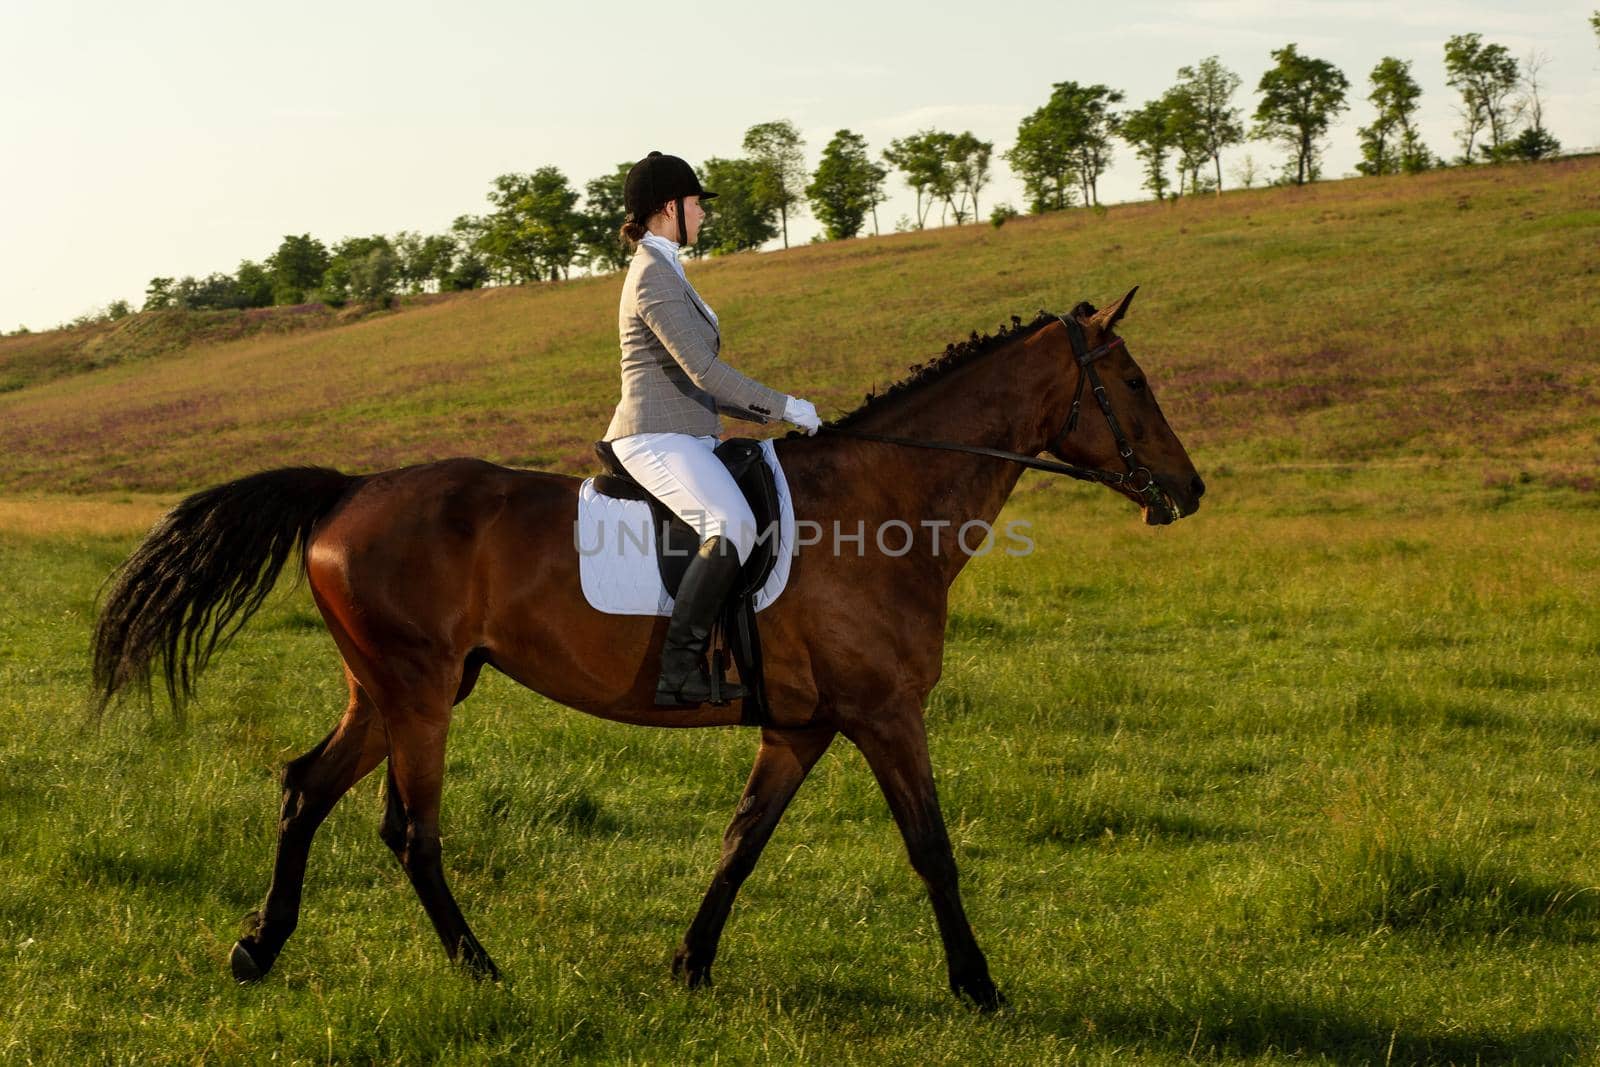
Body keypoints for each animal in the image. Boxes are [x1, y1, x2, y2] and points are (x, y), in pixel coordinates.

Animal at [90, 289, 1203, 1011]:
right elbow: (931, 847)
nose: (1187, 491)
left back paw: (258, 947)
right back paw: (479, 966)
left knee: (304, 787)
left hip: (385, 689)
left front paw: (689, 965)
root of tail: (349, 489)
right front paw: (978, 985)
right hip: (416, 690)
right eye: (1134, 379)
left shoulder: (801, 729)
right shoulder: (885, 714)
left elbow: (741, 841)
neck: (882, 506)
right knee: (410, 831)